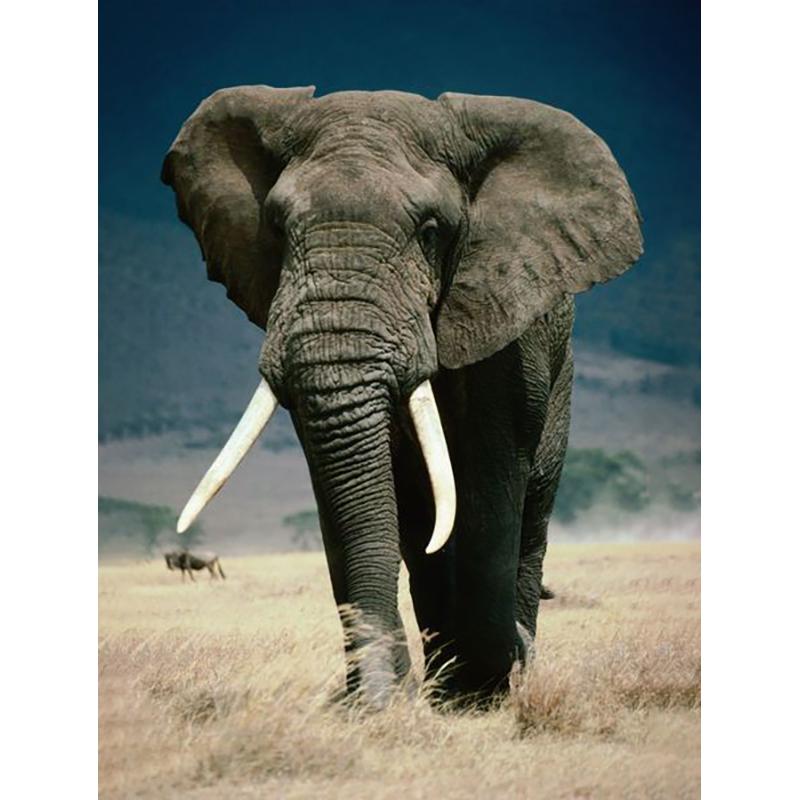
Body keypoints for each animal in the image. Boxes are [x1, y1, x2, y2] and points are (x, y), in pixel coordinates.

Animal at [162, 86, 642, 708]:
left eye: (431, 230)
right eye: (277, 226)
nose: (374, 696)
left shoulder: (508, 322)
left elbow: (491, 471)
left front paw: (491, 681)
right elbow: (345, 483)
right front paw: (380, 700)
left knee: (530, 512)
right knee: (420, 531)